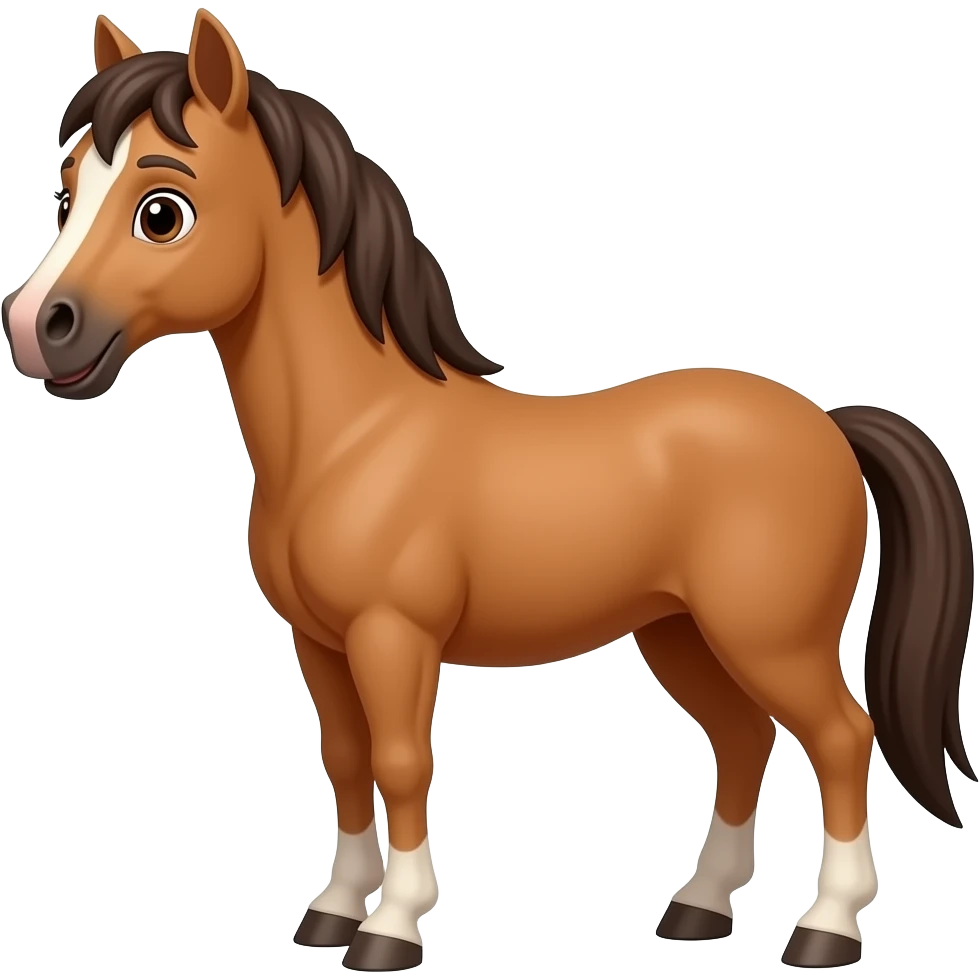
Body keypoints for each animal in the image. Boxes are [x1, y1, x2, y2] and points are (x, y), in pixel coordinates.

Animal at [1, 10, 974, 972]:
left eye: (162, 211)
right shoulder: (318, 644)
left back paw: (826, 927)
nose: (37, 327)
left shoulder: (393, 636)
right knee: (743, 741)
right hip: (683, 634)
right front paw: (331, 913)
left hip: (771, 638)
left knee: (841, 738)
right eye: (69, 190)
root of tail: (827, 425)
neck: (358, 437)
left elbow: (401, 762)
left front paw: (391, 929)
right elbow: (345, 760)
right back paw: (698, 910)